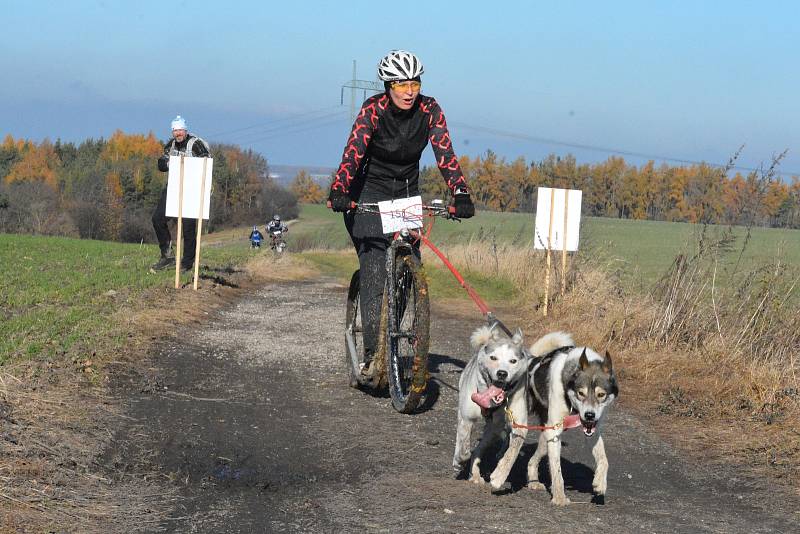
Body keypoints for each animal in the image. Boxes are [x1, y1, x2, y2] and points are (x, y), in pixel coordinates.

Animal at [454, 324, 528, 492]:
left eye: (513, 361)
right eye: (493, 358)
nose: (502, 373)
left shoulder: (518, 425)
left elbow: (512, 452)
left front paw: (499, 477)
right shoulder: (467, 419)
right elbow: (465, 448)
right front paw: (459, 461)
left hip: (493, 431)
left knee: (479, 450)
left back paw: (475, 474)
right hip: (462, 413)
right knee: (461, 438)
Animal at [528, 332, 620, 508]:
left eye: (601, 394)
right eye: (581, 393)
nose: (589, 415)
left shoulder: (593, 431)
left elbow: (604, 460)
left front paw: (600, 483)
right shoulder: (555, 431)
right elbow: (557, 469)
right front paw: (559, 497)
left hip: (546, 436)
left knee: (532, 459)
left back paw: (533, 481)